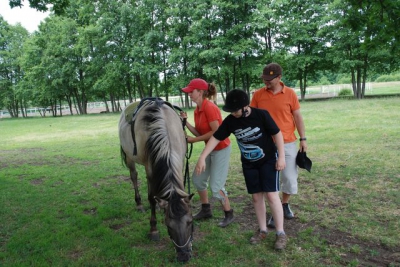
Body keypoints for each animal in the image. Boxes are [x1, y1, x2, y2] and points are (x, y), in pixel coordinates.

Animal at [119, 97, 194, 262]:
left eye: (190, 222)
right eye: (168, 226)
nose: (184, 256)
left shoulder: (179, 162)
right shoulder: (150, 168)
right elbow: (151, 198)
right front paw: (153, 229)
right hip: (131, 159)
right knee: (134, 177)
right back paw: (139, 204)